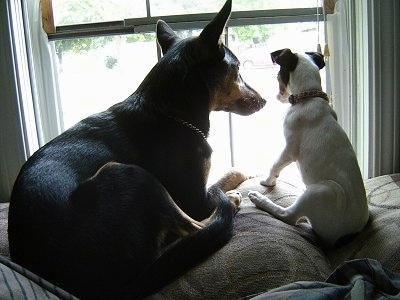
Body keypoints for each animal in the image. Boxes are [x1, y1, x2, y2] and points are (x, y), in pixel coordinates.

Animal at [7, 1, 266, 298]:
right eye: (238, 70)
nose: (264, 100)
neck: (169, 111)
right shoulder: (195, 199)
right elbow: (220, 181)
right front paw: (240, 179)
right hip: (129, 174)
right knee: (196, 228)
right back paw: (230, 204)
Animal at [250, 48, 368, 246]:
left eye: (277, 76)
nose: (276, 96)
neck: (308, 96)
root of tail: (350, 235)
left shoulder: (289, 150)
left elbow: (275, 165)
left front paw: (268, 181)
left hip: (323, 191)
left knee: (288, 216)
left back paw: (259, 199)